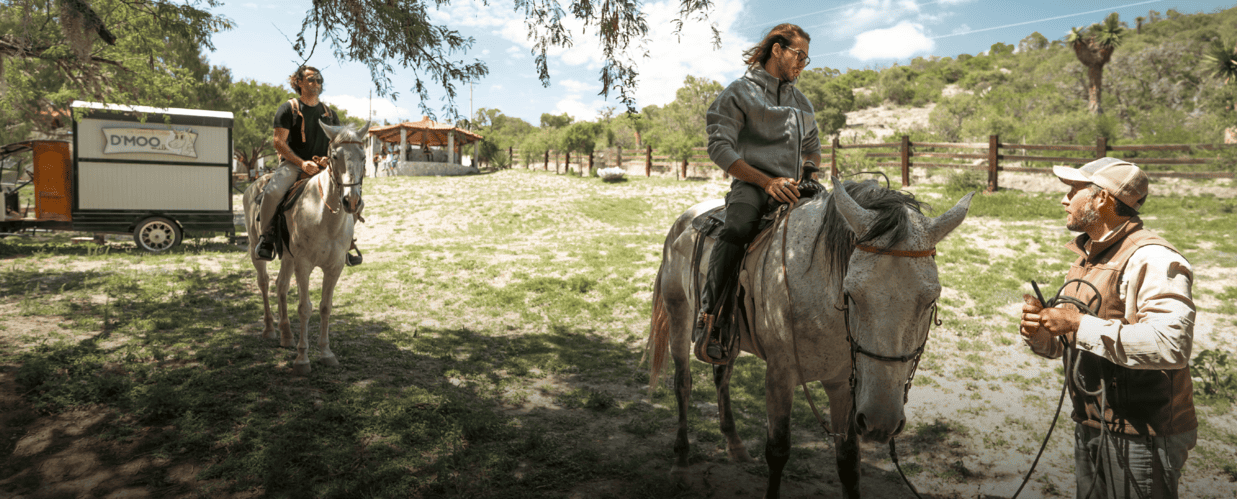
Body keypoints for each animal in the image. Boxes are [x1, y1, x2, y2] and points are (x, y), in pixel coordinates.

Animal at [243, 121, 368, 376]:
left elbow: (325, 307)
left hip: (288, 257)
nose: (351, 201)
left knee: (280, 285)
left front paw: (326, 353)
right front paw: (302, 359)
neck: (323, 214)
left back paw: (286, 334)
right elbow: (305, 308)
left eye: (364, 156)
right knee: (264, 283)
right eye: (334, 156)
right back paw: (270, 330)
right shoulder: (303, 265)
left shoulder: (334, 267)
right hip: (255, 250)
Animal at [646, 177, 974, 498]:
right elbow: (777, 452)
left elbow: (849, 462)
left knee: (721, 377)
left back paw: (735, 446)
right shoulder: (779, 375)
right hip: (678, 314)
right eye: (850, 293)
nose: (882, 420)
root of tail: (685, 218)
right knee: (683, 384)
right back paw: (680, 464)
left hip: (729, 338)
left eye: (931, 300)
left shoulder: (844, 385)